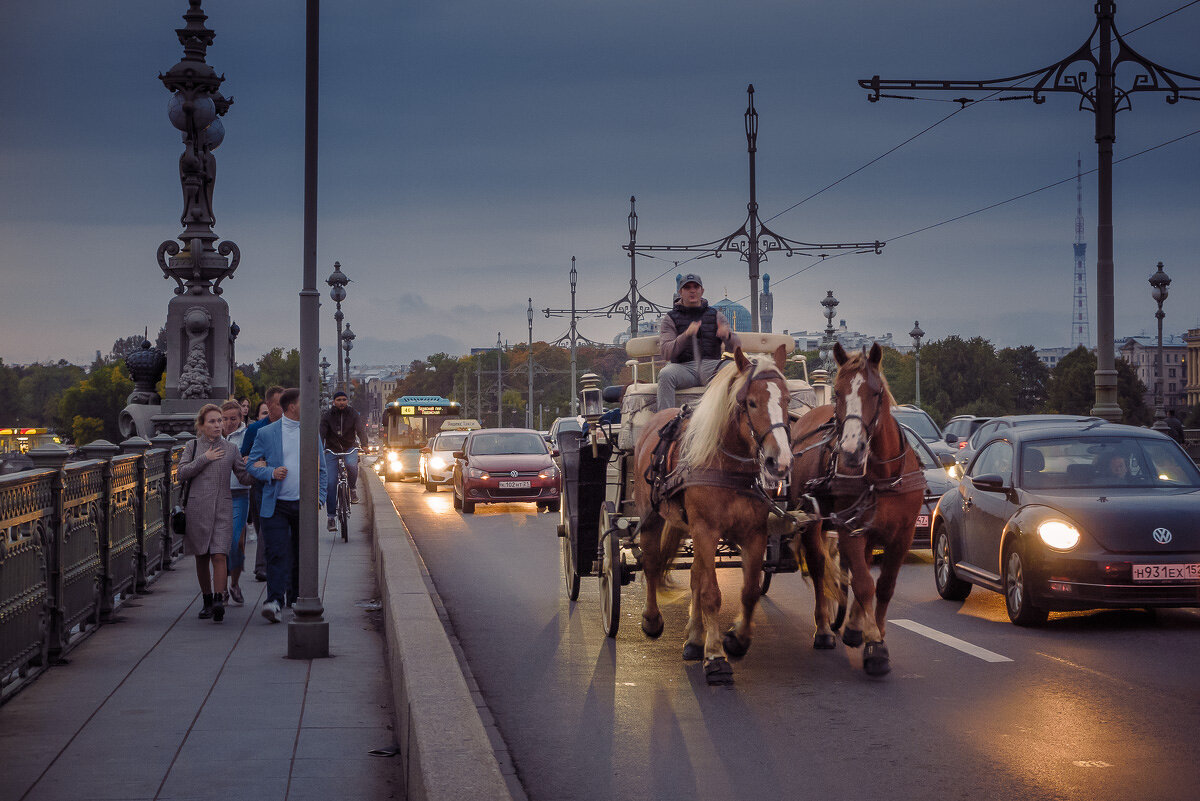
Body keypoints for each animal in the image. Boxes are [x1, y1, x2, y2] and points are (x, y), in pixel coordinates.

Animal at [633, 347, 792, 685]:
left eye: (786, 400)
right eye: (751, 402)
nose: (780, 461)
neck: (728, 467)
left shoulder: (754, 533)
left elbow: (748, 591)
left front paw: (736, 639)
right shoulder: (706, 530)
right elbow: (711, 594)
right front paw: (716, 656)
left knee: (695, 574)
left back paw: (694, 639)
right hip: (651, 517)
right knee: (652, 565)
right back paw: (652, 620)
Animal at [792, 342, 921, 676]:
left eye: (875, 393)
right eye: (837, 393)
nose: (850, 451)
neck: (882, 475)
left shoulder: (902, 535)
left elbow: (884, 586)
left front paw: (872, 630)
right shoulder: (849, 529)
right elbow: (864, 585)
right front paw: (875, 644)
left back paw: (851, 625)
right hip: (813, 522)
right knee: (820, 567)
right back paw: (825, 629)